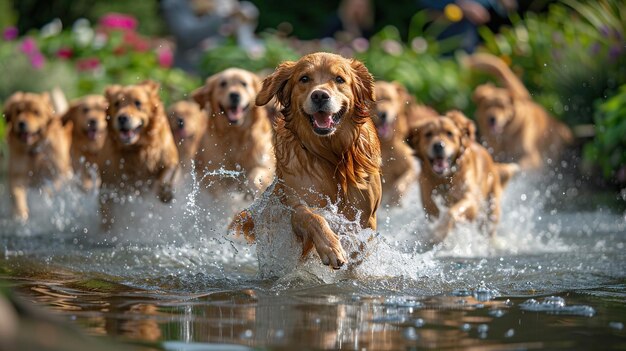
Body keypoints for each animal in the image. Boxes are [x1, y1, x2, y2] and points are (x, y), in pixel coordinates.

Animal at [2, 92, 73, 221]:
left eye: (36, 112)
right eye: (18, 111)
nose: (21, 123)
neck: (34, 151)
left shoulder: (56, 174)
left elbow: (50, 188)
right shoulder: (17, 175)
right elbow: (17, 195)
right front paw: (20, 214)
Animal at [99, 81, 178, 227]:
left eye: (138, 103)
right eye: (117, 104)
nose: (122, 118)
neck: (137, 149)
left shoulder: (171, 159)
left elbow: (166, 174)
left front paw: (165, 193)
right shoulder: (108, 186)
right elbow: (108, 213)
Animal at [193, 67, 272, 197]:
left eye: (244, 84)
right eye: (223, 84)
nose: (234, 95)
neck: (236, 135)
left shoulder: (264, 162)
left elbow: (256, 175)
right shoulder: (213, 172)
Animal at [229, 52, 380, 268]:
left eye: (339, 79)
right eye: (304, 79)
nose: (319, 95)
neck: (330, 154)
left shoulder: (365, 217)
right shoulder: (297, 202)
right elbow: (312, 217)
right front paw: (331, 247)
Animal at [404, 110, 516, 245]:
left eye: (449, 133)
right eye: (428, 134)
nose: (438, 146)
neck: (445, 179)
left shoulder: (471, 201)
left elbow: (451, 212)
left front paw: (439, 232)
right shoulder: (426, 195)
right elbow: (432, 209)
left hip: (491, 208)